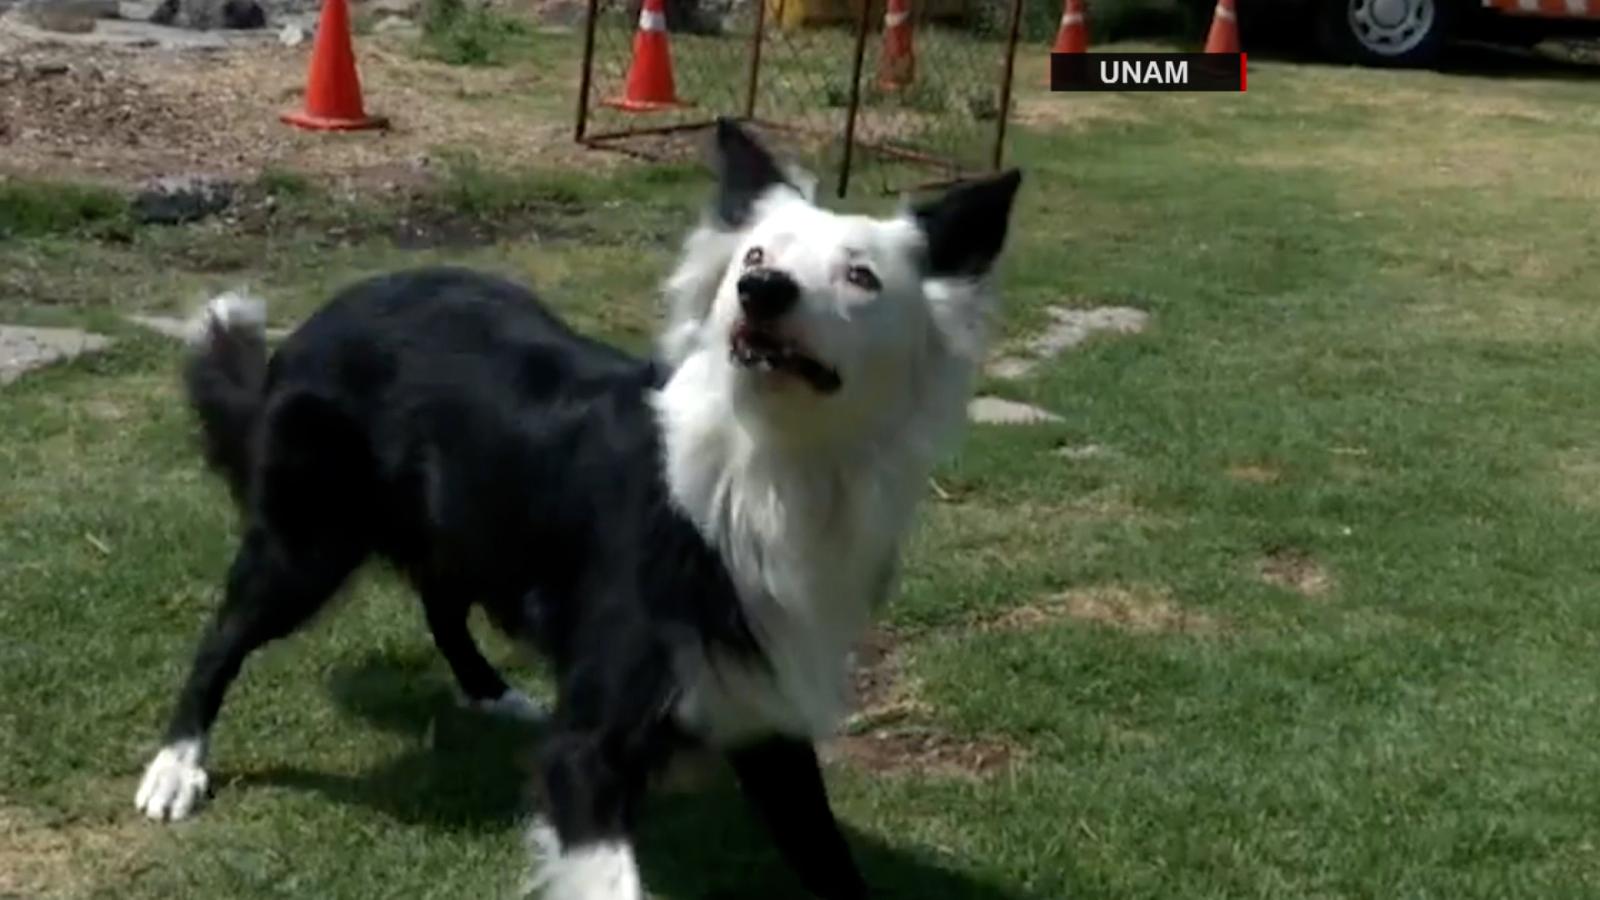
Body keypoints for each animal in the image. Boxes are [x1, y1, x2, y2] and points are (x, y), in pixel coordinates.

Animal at [134, 120, 1024, 896]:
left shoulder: (764, 711)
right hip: (307, 543)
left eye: (861, 275)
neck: (759, 473)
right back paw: (176, 765)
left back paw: (489, 691)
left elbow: (831, 860)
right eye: (756, 254)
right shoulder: (589, 752)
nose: (760, 291)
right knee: (224, 636)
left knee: (439, 597)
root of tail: (323, 318)